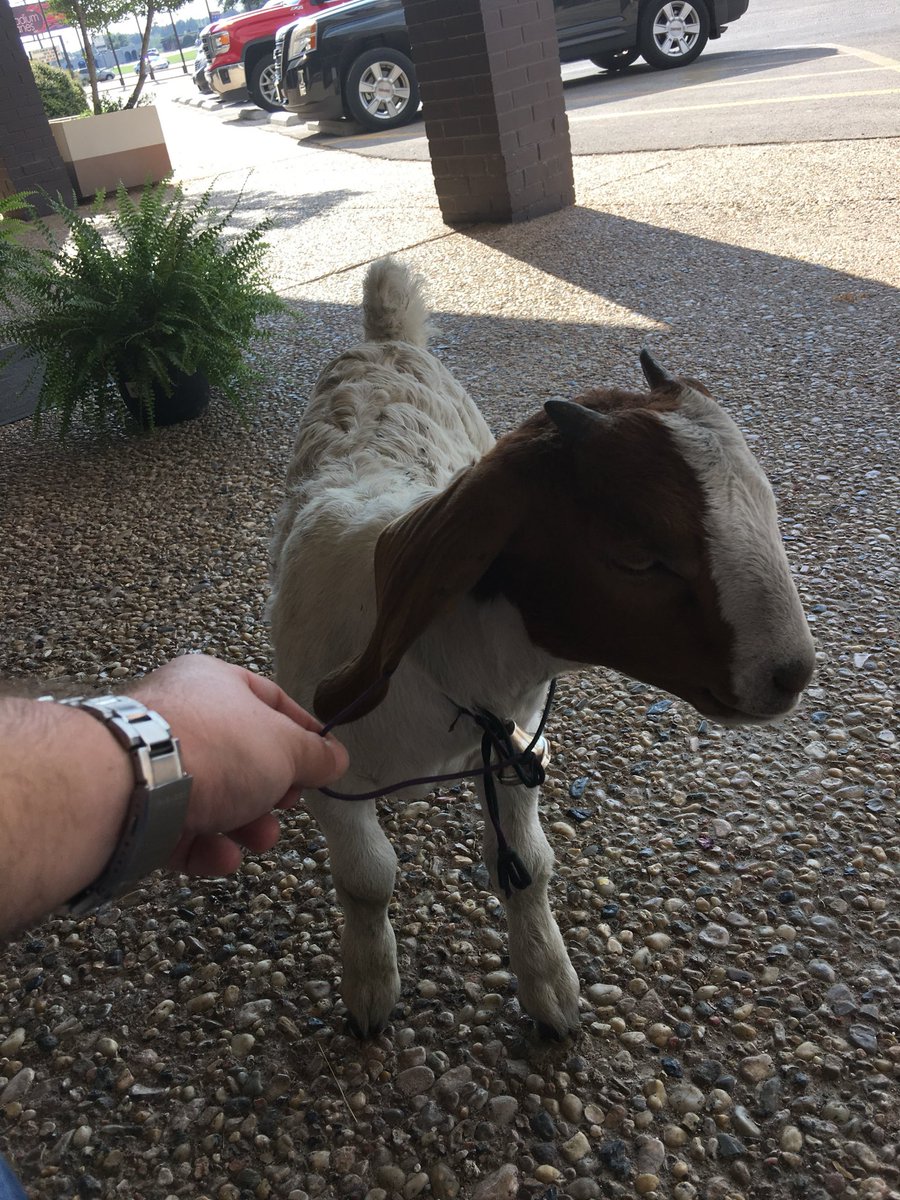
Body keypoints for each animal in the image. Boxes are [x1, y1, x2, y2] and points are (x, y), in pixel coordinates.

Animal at [269, 259, 815, 1038]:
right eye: (638, 555)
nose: (791, 673)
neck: (450, 670)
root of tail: (384, 336)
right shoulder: (330, 774)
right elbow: (367, 877)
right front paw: (370, 987)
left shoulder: (520, 745)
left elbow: (527, 864)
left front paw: (550, 987)